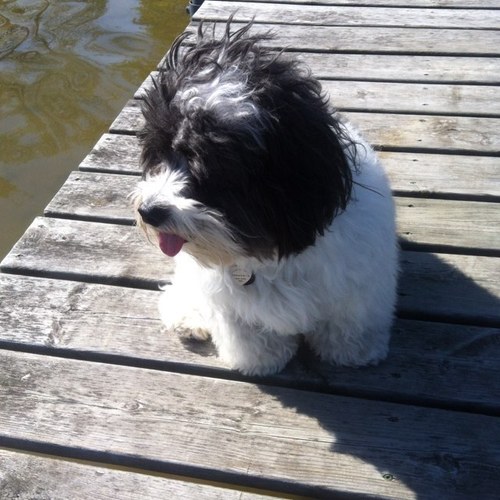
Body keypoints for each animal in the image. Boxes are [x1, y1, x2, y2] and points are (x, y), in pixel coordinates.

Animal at [133, 22, 398, 376]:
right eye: (159, 156)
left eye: (206, 166)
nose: (149, 211)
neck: (268, 252)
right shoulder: (232, 307)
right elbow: (250, 337)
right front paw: (261, 362)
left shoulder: (358, 292)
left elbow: (349, 325)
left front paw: (355, 352)